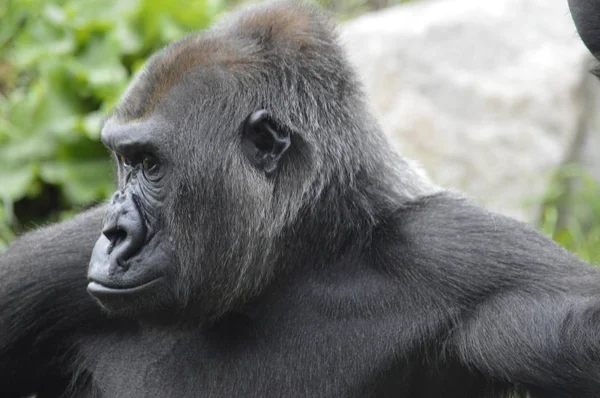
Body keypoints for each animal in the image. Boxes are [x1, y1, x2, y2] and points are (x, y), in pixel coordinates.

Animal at [1, 0, 600, 396]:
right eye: (124, 162)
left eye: (150, 165)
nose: (114, 235)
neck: (303, 257)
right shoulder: (57, 265)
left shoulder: (470, 261)